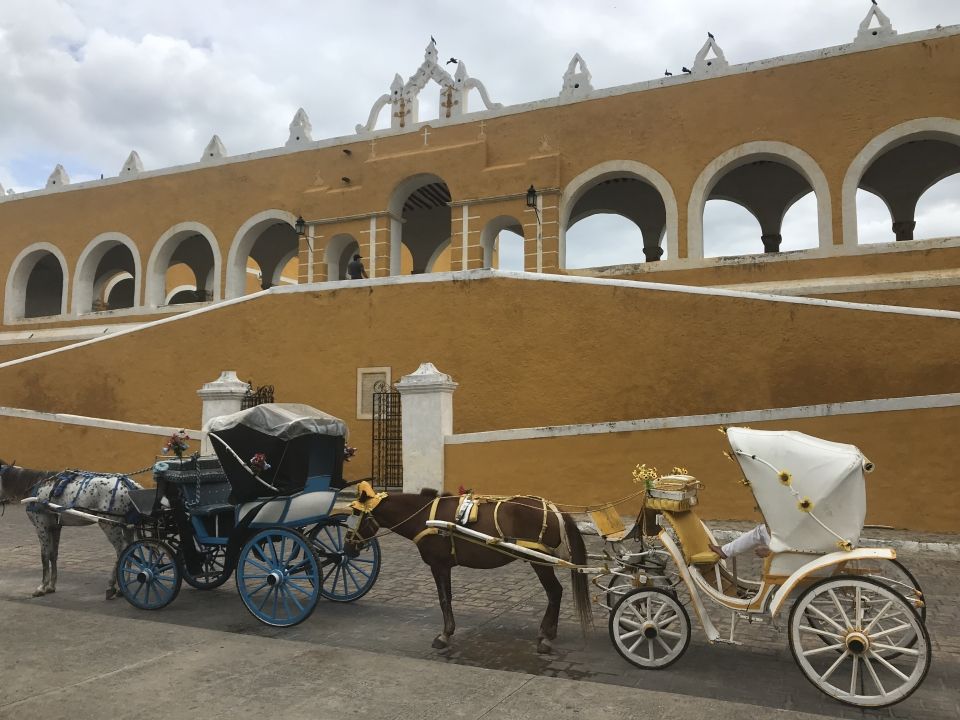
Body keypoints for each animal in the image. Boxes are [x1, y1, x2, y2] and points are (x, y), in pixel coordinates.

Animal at [0, 458, 141, 600]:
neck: (35, 486)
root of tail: (130, 486)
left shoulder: (41, 526)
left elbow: (44, 556)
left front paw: (42, 587)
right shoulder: (55, 527)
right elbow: (53, 554)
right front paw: (51, 586)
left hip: (109, 525)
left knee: (122, 550)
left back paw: (112, 586)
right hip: (126, 526)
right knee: (130, 550)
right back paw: (123, 587)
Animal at [350, 484, 592, 652]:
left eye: (357, 516)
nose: (347, 546)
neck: (424, 517)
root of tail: (554, 509)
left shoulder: (439, 565)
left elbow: (444, 599)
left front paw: (445, 635)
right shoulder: (443, 566)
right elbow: (446, 598)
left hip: (537, 560)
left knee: (555, 592)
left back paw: (546, 636)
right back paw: (548, 632)